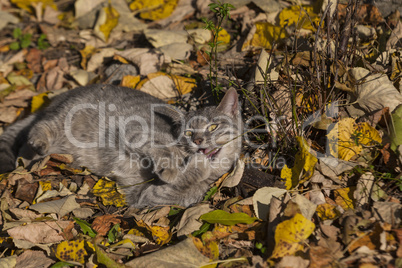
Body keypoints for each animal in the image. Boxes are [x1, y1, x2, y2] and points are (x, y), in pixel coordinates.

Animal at [0, 85, 242, 208]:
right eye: (189, 132)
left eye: (213, 127)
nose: (198, 141)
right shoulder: (137, 132)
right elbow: (164, 152)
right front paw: (176, 165)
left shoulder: (148, 197)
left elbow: (177, 183)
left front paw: (193, 168)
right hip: (65, 118)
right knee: (40, 126)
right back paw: (39, 143)